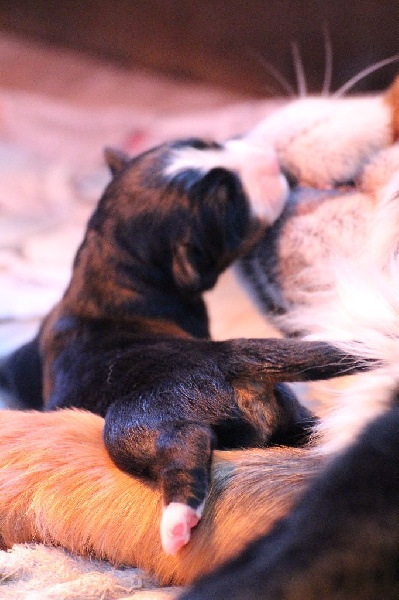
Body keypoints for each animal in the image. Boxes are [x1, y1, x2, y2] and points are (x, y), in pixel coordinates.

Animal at [2, 136, 372, 552]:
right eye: (228, 198)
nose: (271, 157)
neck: (113, 259)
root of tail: (228, 356)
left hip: (139, 420)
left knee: (184, 444)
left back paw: (178, 520)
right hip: (288, 412)